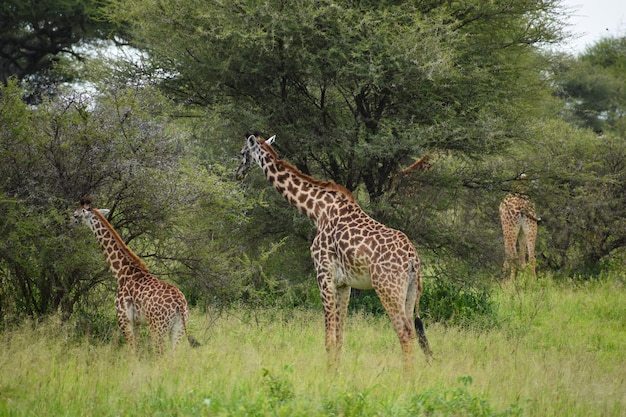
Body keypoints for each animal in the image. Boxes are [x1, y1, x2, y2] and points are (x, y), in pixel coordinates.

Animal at [73, 197, 200, 352]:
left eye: (76, 214)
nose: (71, 221)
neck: (122, 272)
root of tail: (180, 304)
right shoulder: (138, 322)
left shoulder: (124, 319)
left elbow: (131, 350)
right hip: (178, 329)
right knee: (172, 354)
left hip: (158, 328)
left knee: (160, 353)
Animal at [236, 133, 432, 368]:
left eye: (242, 153)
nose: (237, 173)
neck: (317, 210)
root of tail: (413, 259)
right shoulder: (344, 283)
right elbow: (340, 336)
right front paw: (337, 372)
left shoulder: (323, 274)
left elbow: (329, 337)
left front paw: (329, 373)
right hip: (410, 291)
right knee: (412, 331)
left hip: (387, 288)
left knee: (404, 332)